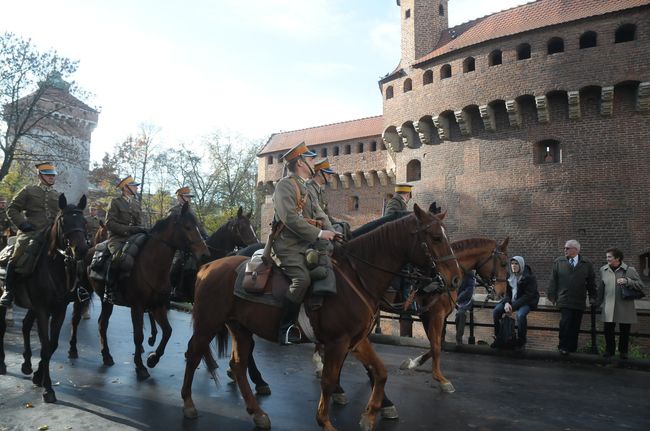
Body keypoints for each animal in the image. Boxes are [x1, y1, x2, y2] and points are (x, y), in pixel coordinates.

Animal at [0, 196, 88, 404]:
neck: (54, 266)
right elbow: (46, 345)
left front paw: (38, 376)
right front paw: (48, 388)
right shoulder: (42, 309)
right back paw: (2, 364)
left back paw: (26, 364)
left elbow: (52, 344)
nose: (81, 249)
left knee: (25, 326)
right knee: (3, 328)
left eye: (84, 221)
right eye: (64, 221)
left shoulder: (59, 310)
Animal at [67, 204, 208, 380]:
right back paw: (73, 349)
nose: (205, 254)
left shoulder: (157, 306)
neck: (152, 264)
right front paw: (140, 366)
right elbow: (138, 335)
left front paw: (153, 359)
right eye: (187, 227)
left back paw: (106, 356)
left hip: (107, 301)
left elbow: (168, 331)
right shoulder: (137, 306)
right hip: (84, 292)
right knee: (76, 319)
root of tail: (88, 250)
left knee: (102, 324)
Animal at [178, 206, 460, 431]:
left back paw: (257, 412)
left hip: (241, 329)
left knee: (238, 366)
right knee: (193, 355)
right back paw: (189, 403)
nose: (455, 278)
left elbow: (379, 372)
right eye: (436, 237)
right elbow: (328, 379)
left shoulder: (357, 340)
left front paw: (370, 415)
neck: (357, 275)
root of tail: (209, 266)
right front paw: (326, 421)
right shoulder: (337, 342)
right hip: (207, 324)